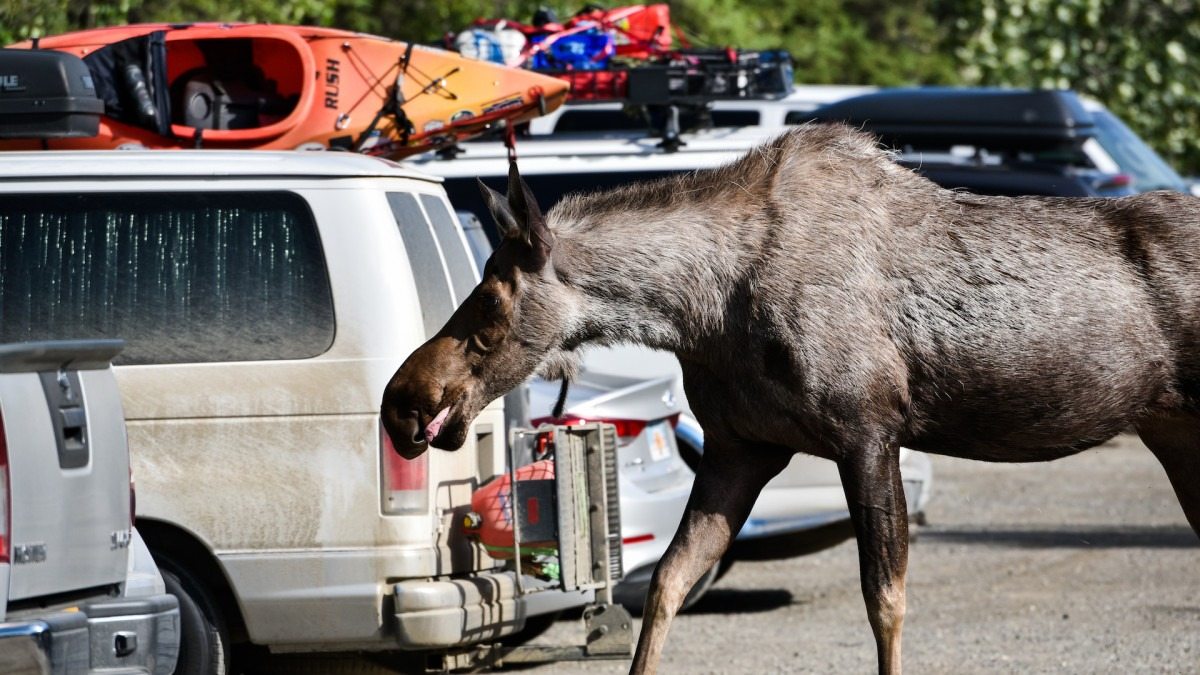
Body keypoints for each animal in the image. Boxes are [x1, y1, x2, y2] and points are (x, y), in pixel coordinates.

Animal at [376, 123, 1200, 667]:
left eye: (490, 300)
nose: (404, 400)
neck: (704, 309)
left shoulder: (867, 431)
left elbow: (885, 599)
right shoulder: (742, 448)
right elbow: (669, 580)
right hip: (1174, 432)